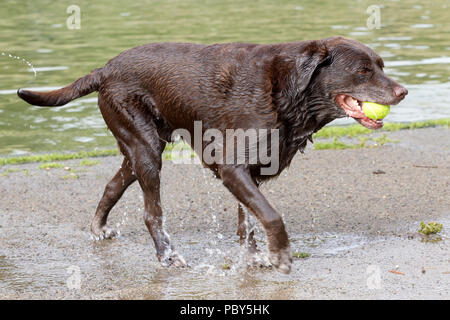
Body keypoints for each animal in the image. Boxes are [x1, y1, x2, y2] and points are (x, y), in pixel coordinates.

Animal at [17, 37, 406, 272]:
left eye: (382, 65)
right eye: (363, 71)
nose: (403, 91)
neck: (291, 91)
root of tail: (105, 68)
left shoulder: (254, 171)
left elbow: (248, 220)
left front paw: (253, 258)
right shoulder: (232, 167)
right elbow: (271, 215)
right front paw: (280, 255)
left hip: (141, 148)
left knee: (114, 185)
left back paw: (99, 227)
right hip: (145, 149)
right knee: (151, 213)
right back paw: (167, 256)